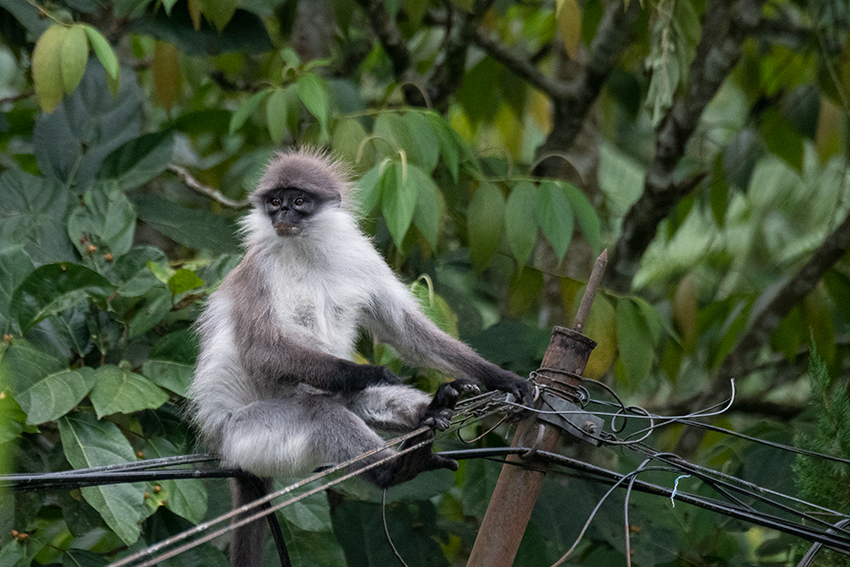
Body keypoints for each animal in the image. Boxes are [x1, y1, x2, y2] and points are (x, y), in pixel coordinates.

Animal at [190, 149, 528, 564]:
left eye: (298, 201)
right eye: (275, 200)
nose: (281, 213)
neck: (305, 250)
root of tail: (226, 446)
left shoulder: (358, 253)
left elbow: (406, 331)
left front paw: (502, 378)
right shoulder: (259, 269)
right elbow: (261, 352)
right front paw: (371, 372)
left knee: (357, 403)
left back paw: (433, 409)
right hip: (250, 435)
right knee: (322, 414)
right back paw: (393, 470)